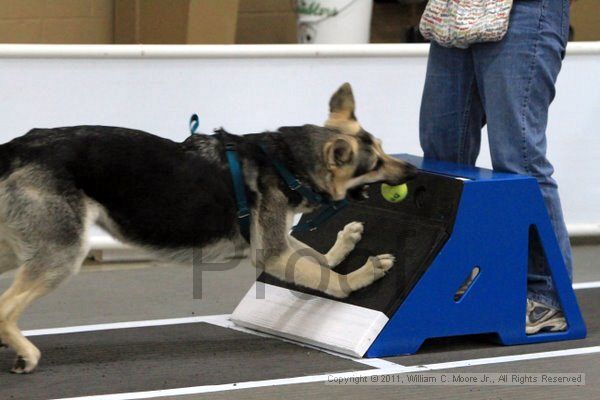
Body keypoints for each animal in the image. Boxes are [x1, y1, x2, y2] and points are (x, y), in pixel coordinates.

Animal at [0, 83, 414, 374]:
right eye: (375, 163)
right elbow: (331, 281)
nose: (411, 171)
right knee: (5, 310)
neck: (286, 162)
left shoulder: (278, 243)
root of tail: (18, 147)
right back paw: (26, 353)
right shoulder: (274, 254)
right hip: (62, 254)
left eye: (383, 148)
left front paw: (344, 244)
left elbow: (317, 258)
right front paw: (364, 273)